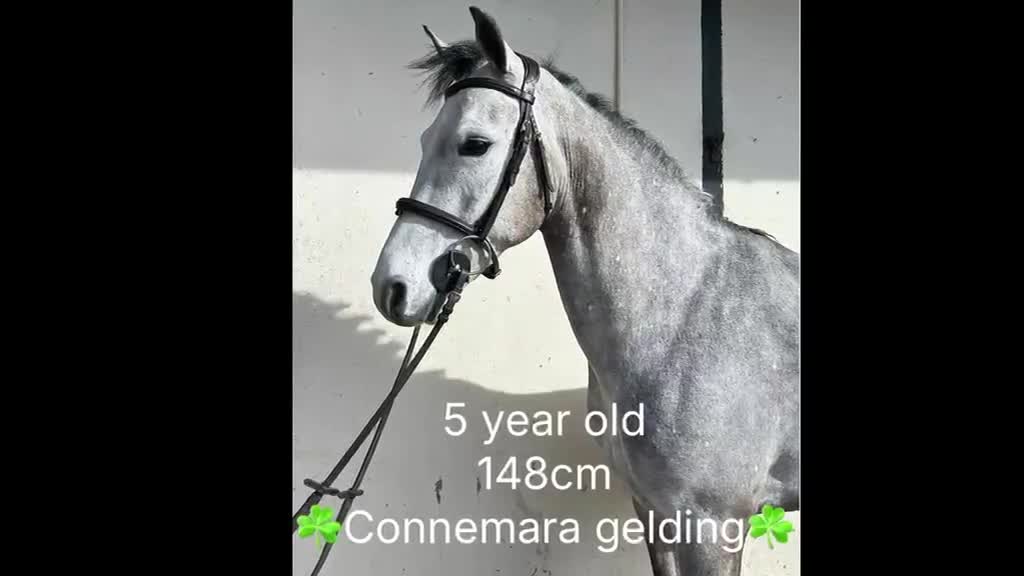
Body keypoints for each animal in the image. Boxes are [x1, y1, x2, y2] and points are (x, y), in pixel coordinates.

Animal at [370, 7, 799, 575]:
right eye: (423, 141)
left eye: (474, 144)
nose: (392, 285)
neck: (683, 314)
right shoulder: (656, 513)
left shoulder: (713, 526)